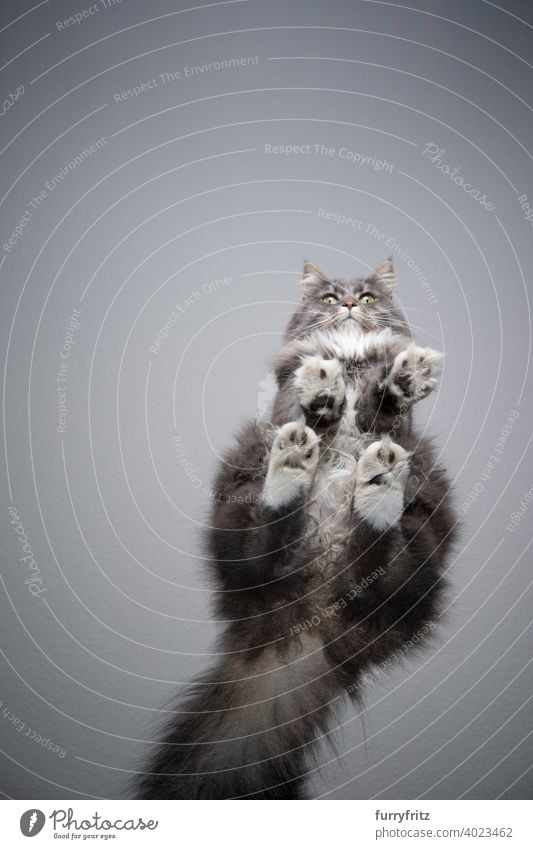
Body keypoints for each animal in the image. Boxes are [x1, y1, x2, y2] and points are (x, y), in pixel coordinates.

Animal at [135, 256, 456, 796]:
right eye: (329, 298)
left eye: (366, 298)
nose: (347, 304)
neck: (351, 358)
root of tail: (308, 621)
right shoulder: (286, 406)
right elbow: (315, 415)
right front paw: (322, 384)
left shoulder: (396, 430)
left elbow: (382, 407)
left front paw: (408, 374)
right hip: (245, 509)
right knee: (275, 528)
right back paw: (291, 467)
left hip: (415, 545)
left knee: (374, 545)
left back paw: (379, 481)